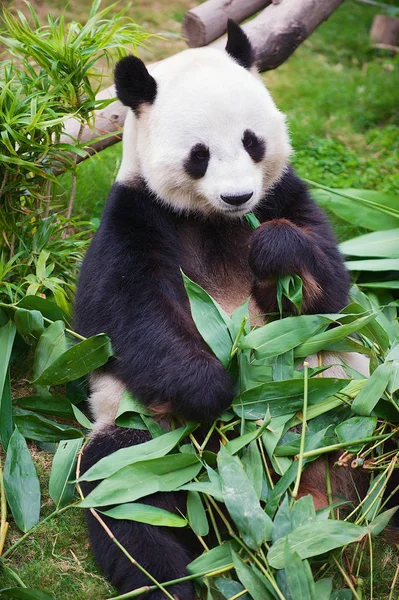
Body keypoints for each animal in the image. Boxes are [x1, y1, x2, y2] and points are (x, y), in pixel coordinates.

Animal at [74, 19, 368, 600]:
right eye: (200, 154)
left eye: (252, 142)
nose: (238, 197)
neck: (213, 221)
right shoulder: (136, 217)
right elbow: (129, 314)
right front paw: (214, 386)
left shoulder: (283, 196)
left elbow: (329, 290)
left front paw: (276, 251)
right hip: (145, 438)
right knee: (126, 496)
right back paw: (173, 581)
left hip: (351, 411)